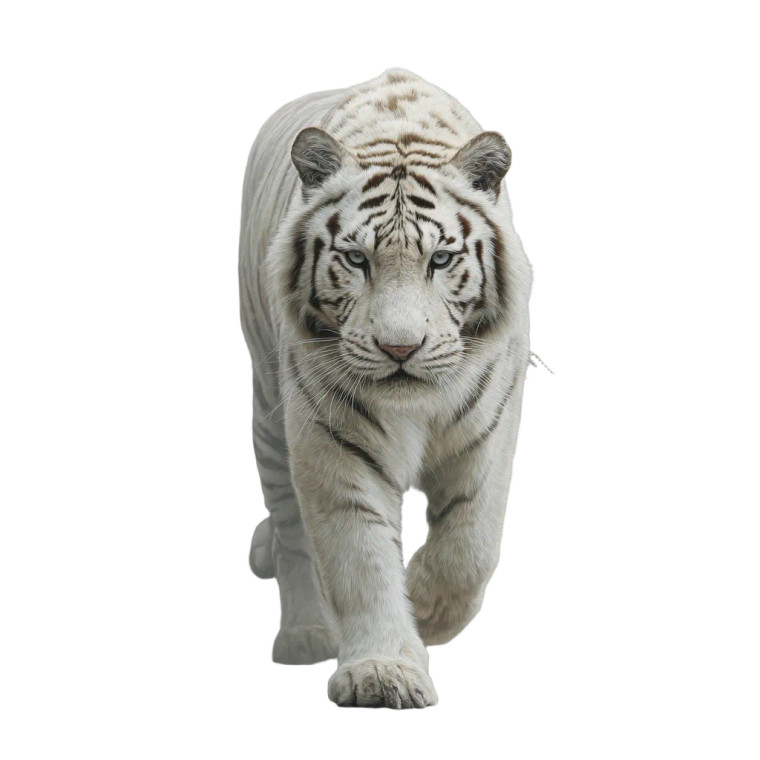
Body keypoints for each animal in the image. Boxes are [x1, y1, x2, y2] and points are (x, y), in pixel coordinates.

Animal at [239, 68, 532, 708]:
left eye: (441, 259)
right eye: (356, 259)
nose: (400, 349)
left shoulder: (490, 428)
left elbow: (471, 545)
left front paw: (425, 607)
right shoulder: (329, 437)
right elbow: (360, 556)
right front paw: (382, 671)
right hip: (268, 412)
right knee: (291, 532)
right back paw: (303, 635)